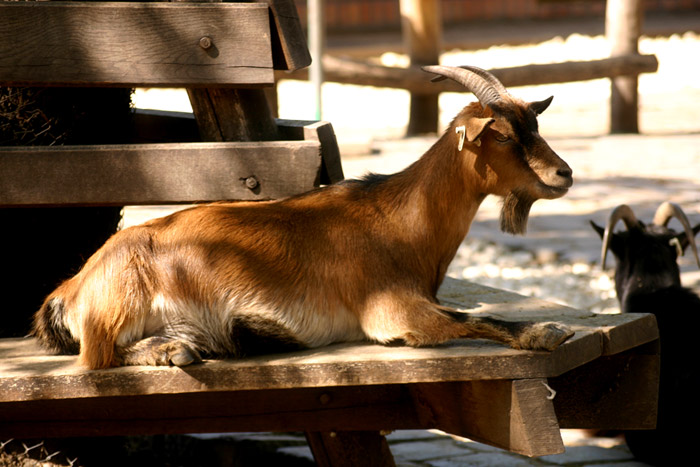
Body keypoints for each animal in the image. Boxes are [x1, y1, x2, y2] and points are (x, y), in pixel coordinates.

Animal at [32, 65, 576, 370]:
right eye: (502, 134)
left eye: (535, 124)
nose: (564, 174)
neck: (398, 220)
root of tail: (69, 288)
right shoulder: (392, 311)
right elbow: (475, 318)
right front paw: (548, 332)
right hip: (117, 306)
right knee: (96, 357)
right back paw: (173, 353)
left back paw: (188, 346)